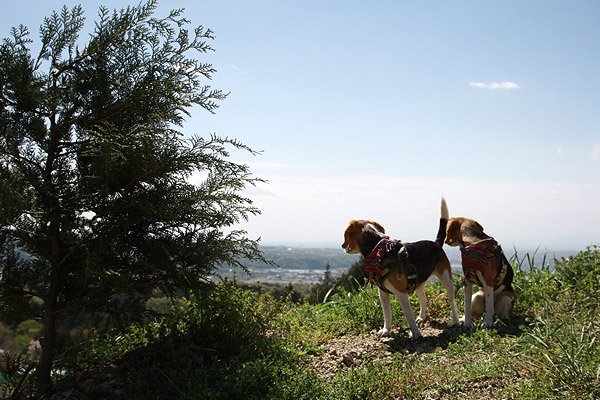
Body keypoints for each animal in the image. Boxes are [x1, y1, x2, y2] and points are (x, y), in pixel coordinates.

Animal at [342, 198, 460, 340]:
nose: (344, 248)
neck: (380, 249)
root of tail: (436, 243)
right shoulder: (383, 293)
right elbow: (387, 314)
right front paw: (386, 330)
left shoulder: (401, 293)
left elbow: (408, 315)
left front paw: (415, 333)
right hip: (418, 283)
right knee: (424, 299)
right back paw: (421, 317)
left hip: (447, 279)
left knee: (452, 301)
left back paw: (455, 321)